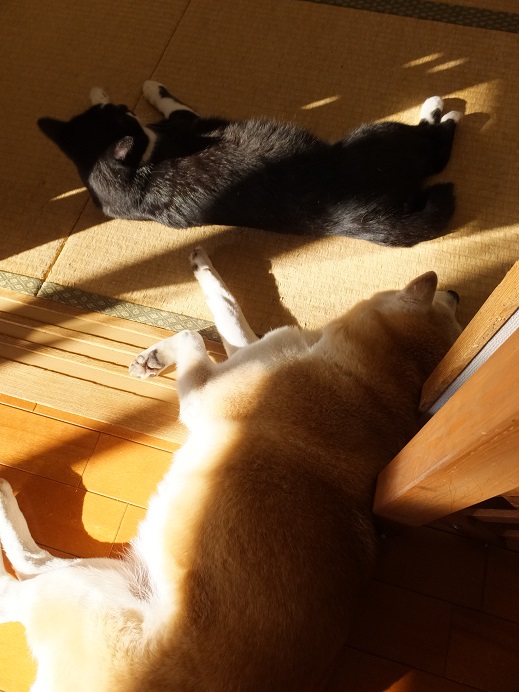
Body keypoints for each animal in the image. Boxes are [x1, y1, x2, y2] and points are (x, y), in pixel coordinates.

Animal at [0, 247, 461, 691]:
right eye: (455, 312)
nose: (458, 292)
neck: (375, 378)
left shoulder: (204, 388)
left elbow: (195, 331)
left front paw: (162, 351)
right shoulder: (249, 350)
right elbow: (229, 308)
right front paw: (190, 290)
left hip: (86, 590)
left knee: (23, 575)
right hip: (101, 577)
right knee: (34, 565)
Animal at [38, 82, 462, 246]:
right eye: (125, 115)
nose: (126, 106)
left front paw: (104, 91)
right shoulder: (184, 122)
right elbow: (171, 101)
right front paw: (150, 89)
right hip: (380, 136)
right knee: (435, 147)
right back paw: (441, 110)